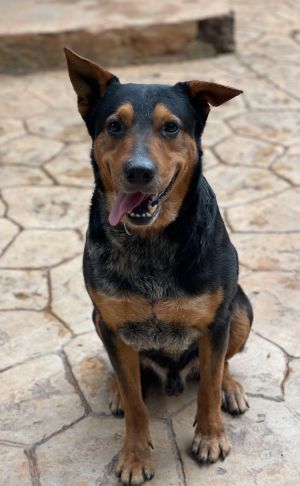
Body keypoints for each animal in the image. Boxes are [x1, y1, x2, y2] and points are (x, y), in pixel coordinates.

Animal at [65, 48, 253, 486]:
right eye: (114, 125)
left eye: (171, 127)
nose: (138, 171)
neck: (150, 242)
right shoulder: (112, 324)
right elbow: (136, 403)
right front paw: (135, 456)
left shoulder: (216, 321)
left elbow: (209, 384)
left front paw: (210, 437)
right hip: (100, 322)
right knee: (127, 372)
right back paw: (116, 390)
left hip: (242, 309)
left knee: (220, 364)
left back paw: (230, 387)